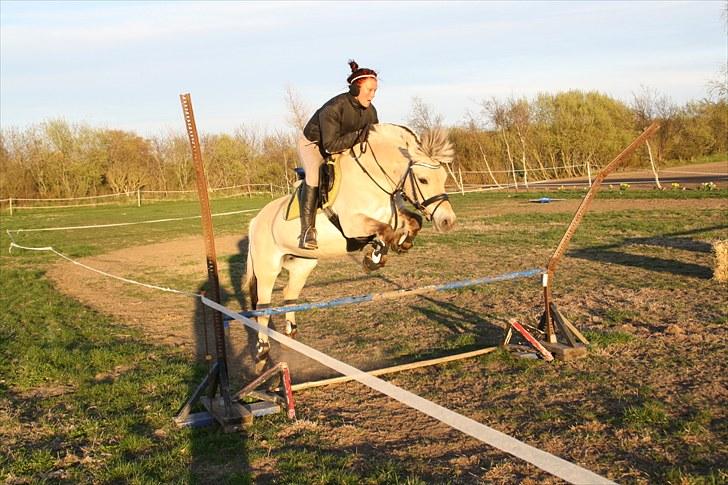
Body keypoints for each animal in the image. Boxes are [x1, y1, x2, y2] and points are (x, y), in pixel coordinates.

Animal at [247, 123, 458, 362]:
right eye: (423, 180)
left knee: (288, 295)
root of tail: (255, 220)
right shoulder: (353, 224)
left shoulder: (393, 214)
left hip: (302, 264)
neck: (374, 179)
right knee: (263, 308)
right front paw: (374, 258)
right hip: (267, 269)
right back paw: (262, 351)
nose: (448, 221)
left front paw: (402, 243)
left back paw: (292, 334)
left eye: (443, 177)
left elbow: (413, 221)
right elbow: (384, 232)